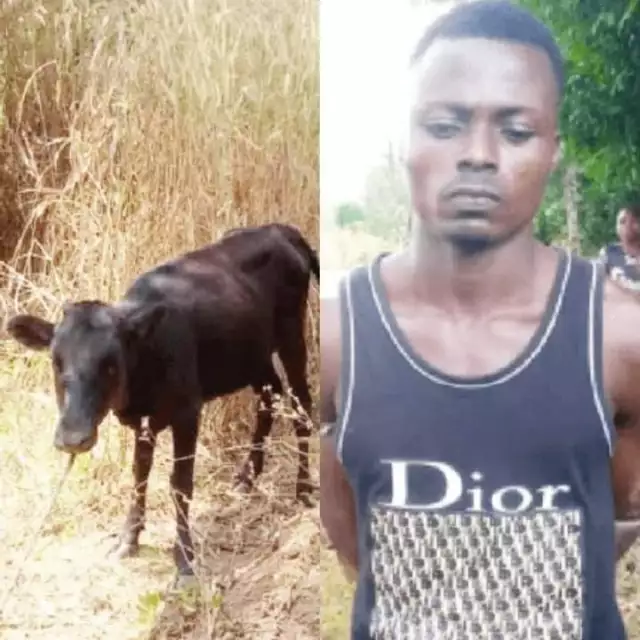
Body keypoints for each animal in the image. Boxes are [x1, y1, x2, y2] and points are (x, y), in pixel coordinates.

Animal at [5, 222, 319, 584]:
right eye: (56, 362)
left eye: (111, 363)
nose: (73, 437)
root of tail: (280, 229)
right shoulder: (142, 421)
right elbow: (139, 474)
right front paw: (128, 540)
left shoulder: (187, 412)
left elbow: (180, 484)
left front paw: (184, 559)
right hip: (252, 355)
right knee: (270, 396)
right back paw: (247, 476)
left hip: (292, 336)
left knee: (301, 405)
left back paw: (303, 488)